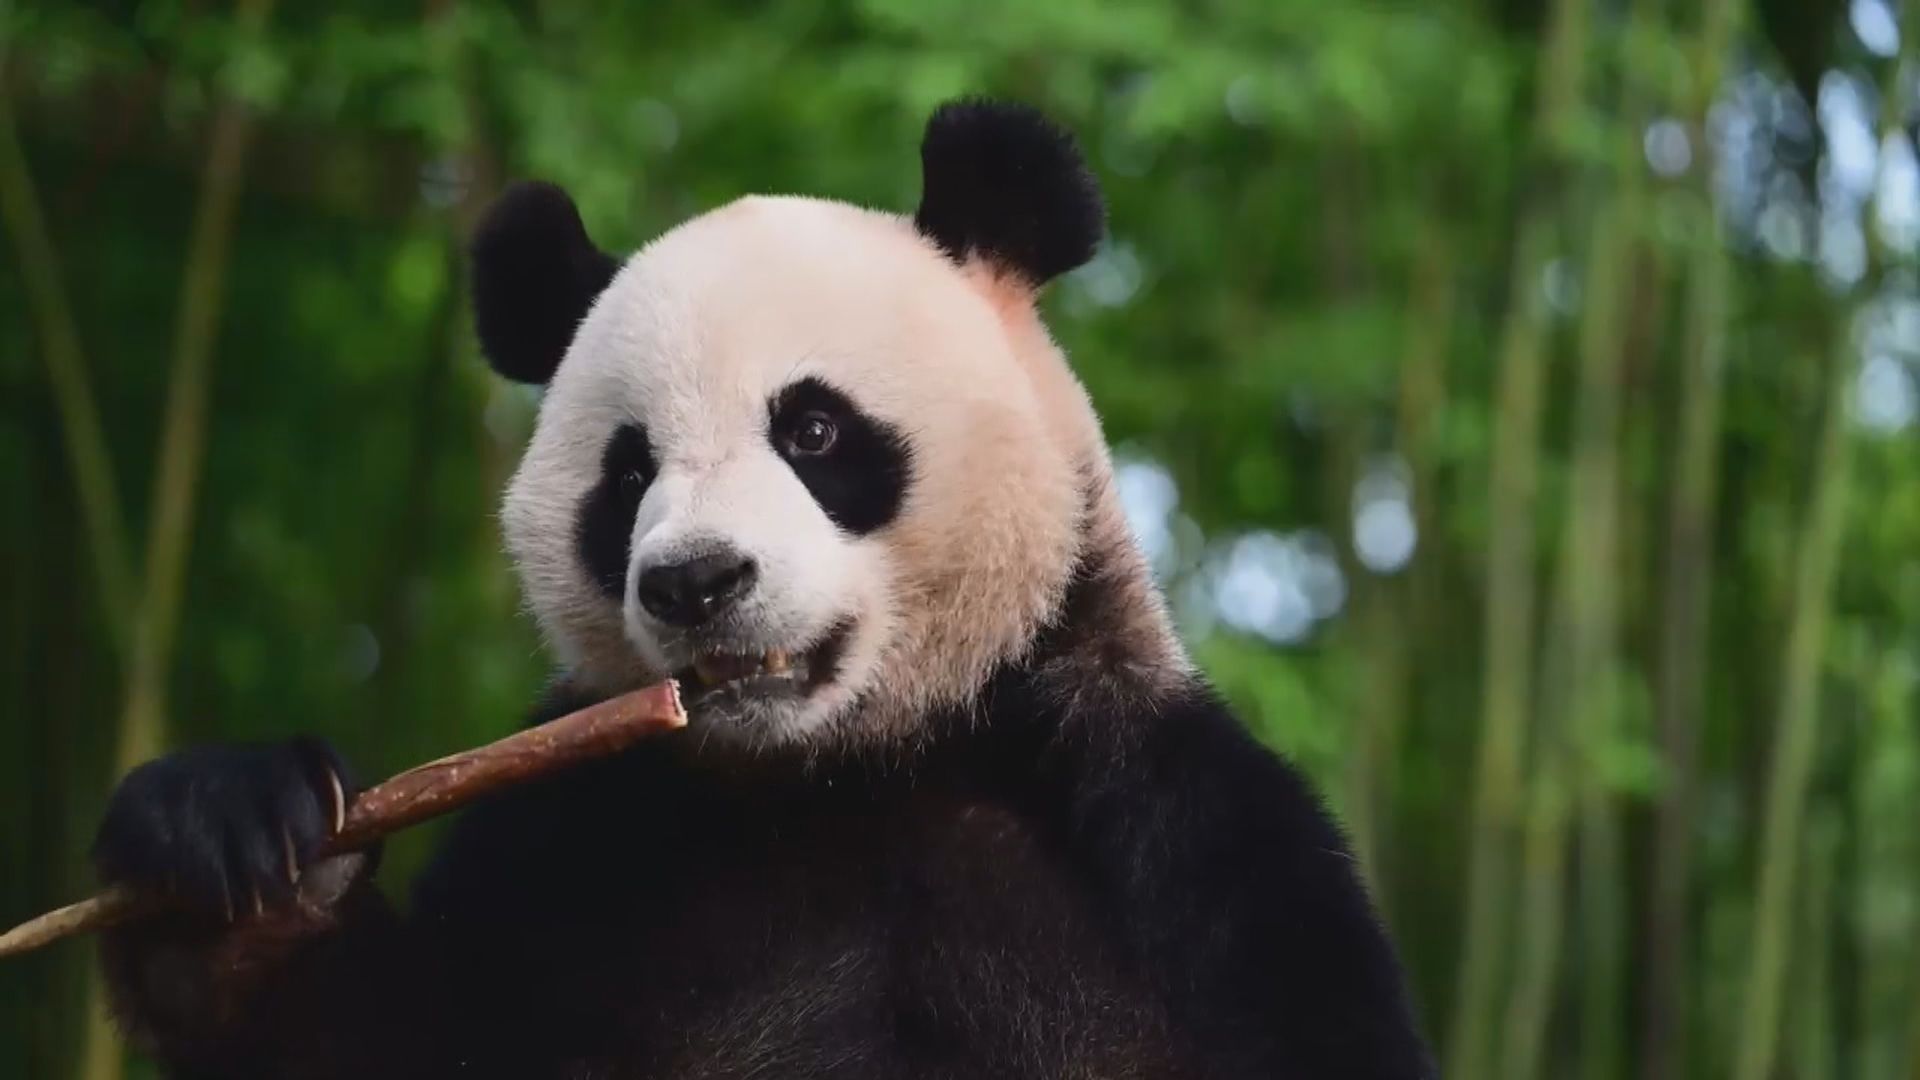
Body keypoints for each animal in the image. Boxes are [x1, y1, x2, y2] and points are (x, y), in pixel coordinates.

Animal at [93, 96, 1443, 1068]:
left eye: (814, 430)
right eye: (628, 471)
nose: (695, 581)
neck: (846, 770)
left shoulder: (1168, 826)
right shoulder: (577, 831)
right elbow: (397, 1038)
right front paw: (224, 861)